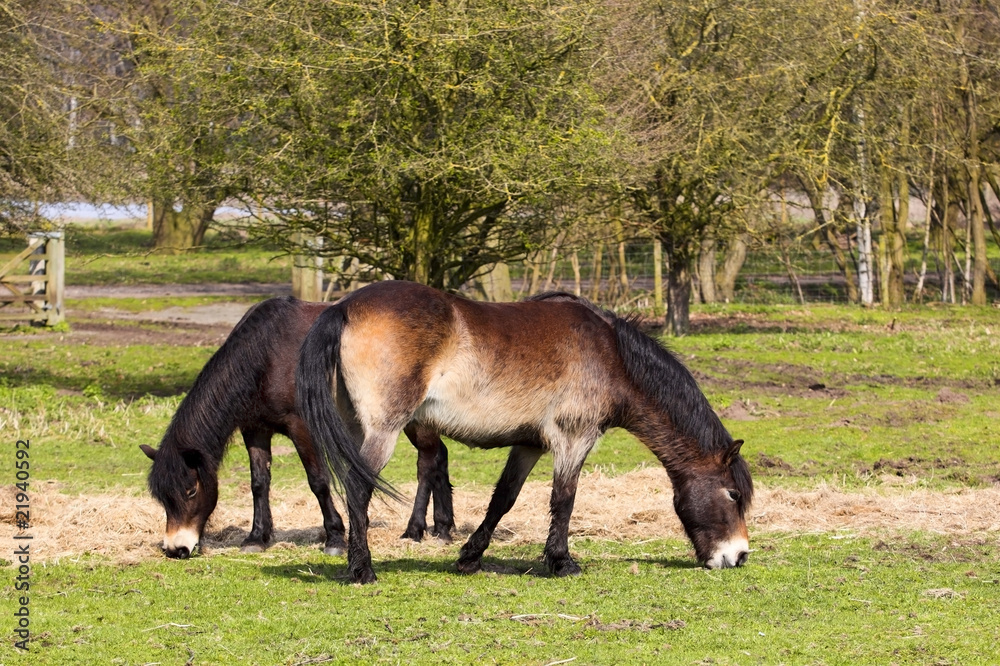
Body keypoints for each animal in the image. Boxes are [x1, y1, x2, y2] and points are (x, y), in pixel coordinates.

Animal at [141, 296, 454, 556]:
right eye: (163, 498)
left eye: (190, 491)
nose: (175, 549)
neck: (266, 354)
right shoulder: (255, 429)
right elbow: (259, 482)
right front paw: (257, 537)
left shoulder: (302, 428)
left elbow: (318, 481)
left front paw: (335, 538)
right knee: (440, 456)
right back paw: (443, 528)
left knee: (426, 465)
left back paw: (414, 530)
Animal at [294, 280, 752, 580]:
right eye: (733, 494)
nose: (740, 555)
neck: (611, 354)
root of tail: (345, 307)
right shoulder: (574, 439)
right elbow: (564, 500)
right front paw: (562, 562)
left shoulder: (529, 444)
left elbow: (504, 499)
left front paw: (470, 557)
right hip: (383, 430)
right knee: (358, 487)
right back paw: (362, 568)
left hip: (356, 428)